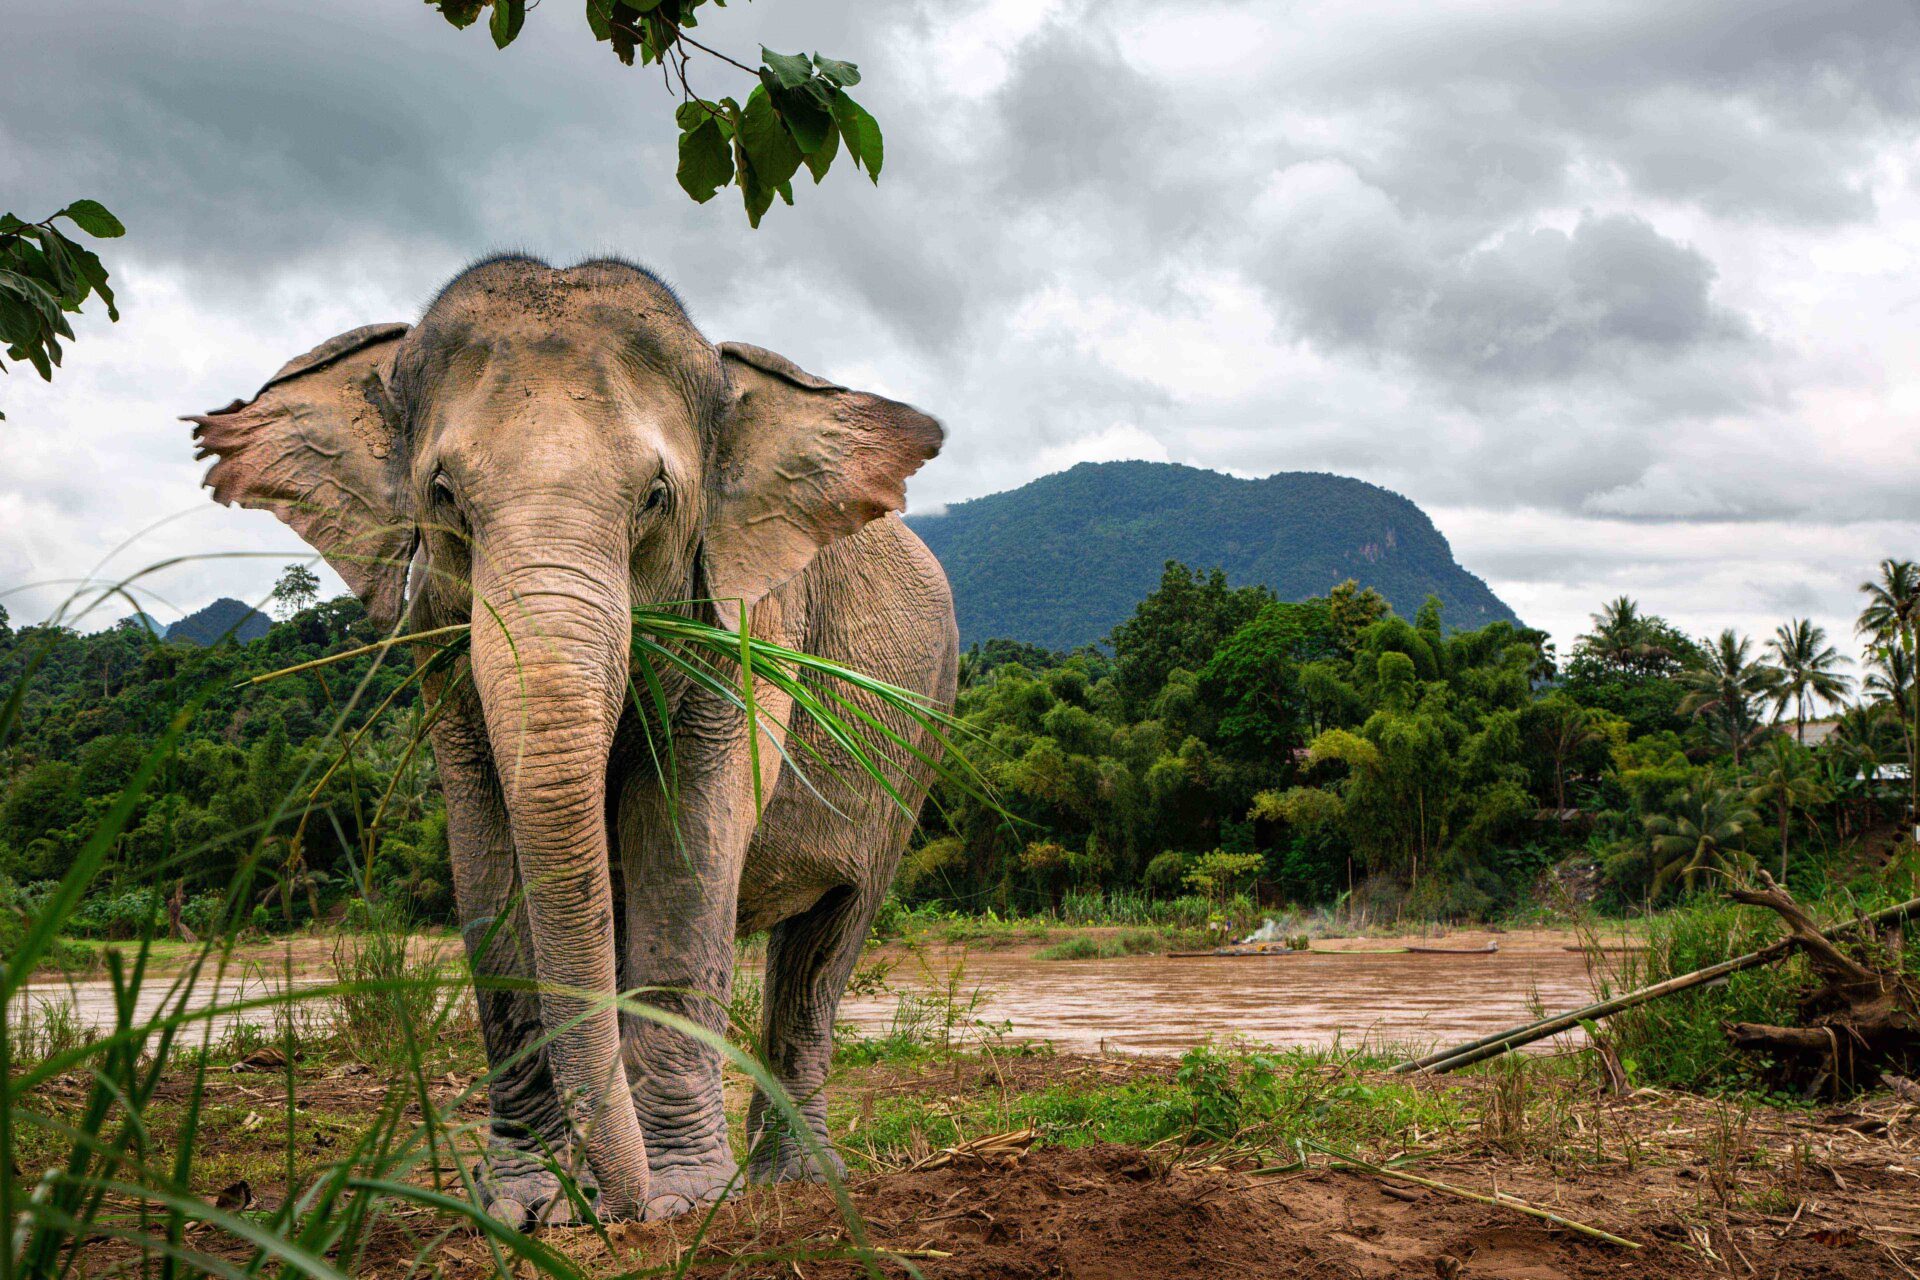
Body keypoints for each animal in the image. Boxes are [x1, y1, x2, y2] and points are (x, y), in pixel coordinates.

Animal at [186, 255, 958, 1223]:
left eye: (657, 499)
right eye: (443, 495)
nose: (626, 1211)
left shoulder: (751, 622)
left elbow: (685, 841)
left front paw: (682, 1201)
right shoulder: (438, 640)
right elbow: (486, 851)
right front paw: (527, 1208)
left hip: (920, 741)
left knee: (825, 945)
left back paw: (797, 1181)